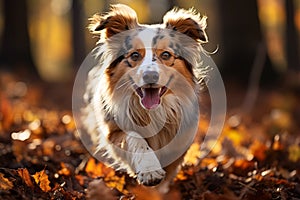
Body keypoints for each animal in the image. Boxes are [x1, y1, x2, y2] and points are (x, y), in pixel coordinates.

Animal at [82, 3, 209, 192]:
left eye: (166, 55)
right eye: (135, 55)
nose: (150, 76)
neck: (153, 112)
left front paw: (160, 190)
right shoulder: (114, 132)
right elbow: (135, 138)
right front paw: (150, 171)